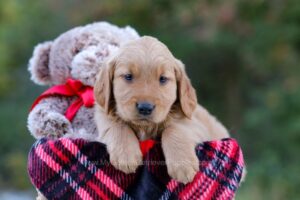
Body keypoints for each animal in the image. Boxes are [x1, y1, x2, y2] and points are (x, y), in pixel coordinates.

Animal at [94, 35, 230, 183]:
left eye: (163, 79)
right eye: (128, 76)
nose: (145, 108)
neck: (145, 128)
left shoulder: (196, 125)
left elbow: (173, 129)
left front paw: (182, 164)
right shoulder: (103, 114)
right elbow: (118, 124)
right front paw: (125, 154)